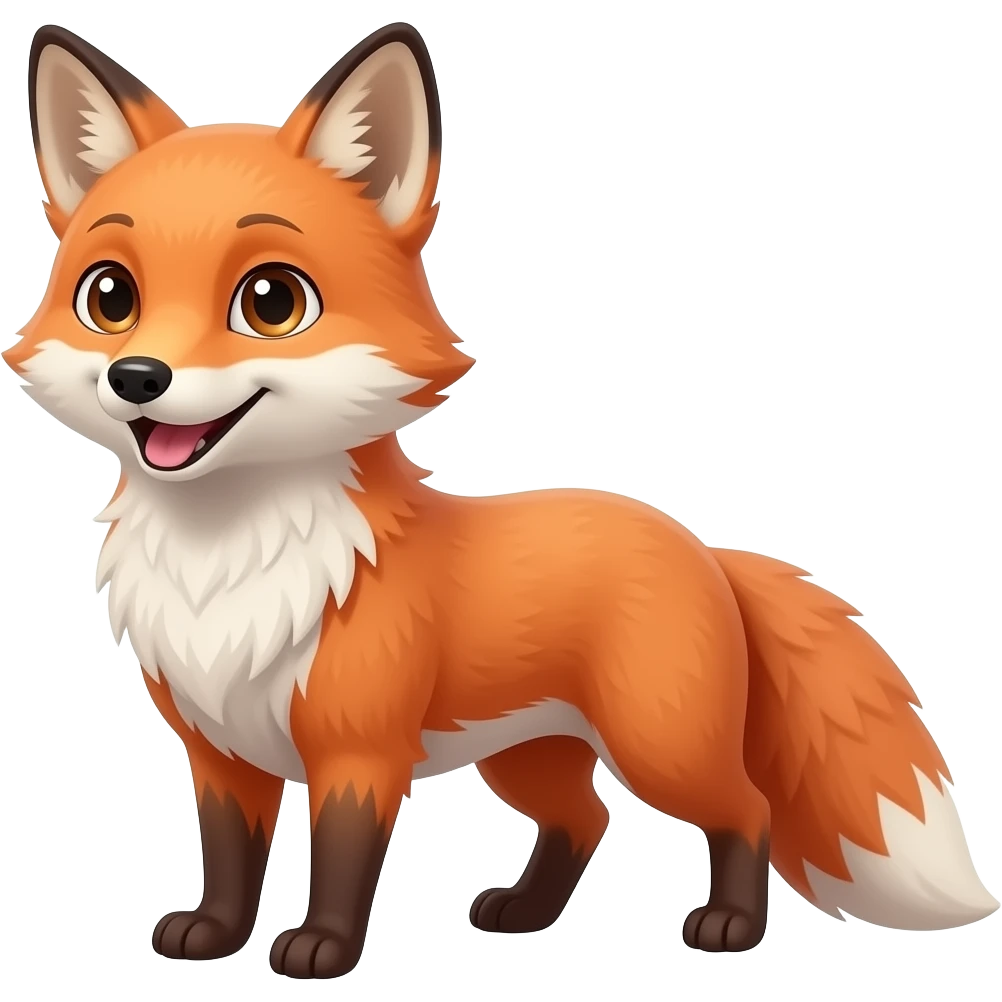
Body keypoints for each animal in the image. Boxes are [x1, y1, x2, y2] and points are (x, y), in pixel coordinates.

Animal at [7, 20, 998, 980]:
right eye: (110, 297)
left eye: (272, 302)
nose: (138, 378)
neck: (225, 567)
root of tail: (702, 547)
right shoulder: (219, 751)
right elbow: (229, 858)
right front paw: (213, 934)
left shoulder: (360, 751)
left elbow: (342, 859)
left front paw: (322, 949)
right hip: (528, 757)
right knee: (586, 820)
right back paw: (524, 914)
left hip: (660, 747)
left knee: (743, 808)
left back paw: (729, 926)